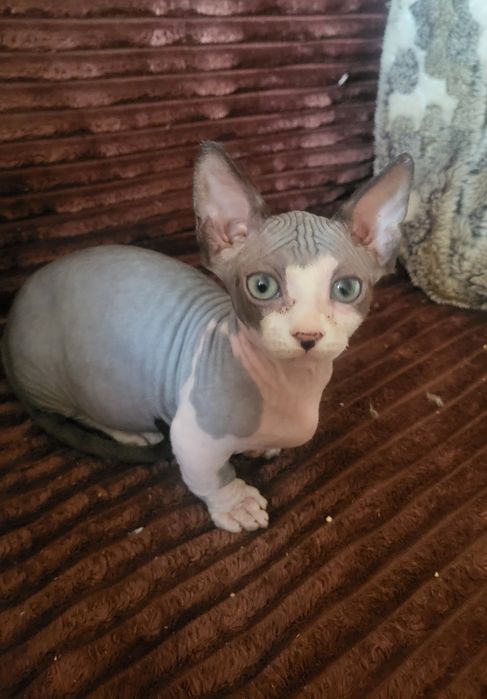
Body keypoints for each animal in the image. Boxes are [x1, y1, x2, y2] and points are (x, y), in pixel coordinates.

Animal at [2, 142, 413, 532]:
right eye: (262, 286)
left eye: (346, 289)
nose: (308, 335)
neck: (291, 384)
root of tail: (12, 316)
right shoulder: (192, 435)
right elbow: (211, 476)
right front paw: (235, 504)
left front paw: (261, 448)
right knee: (76, 411)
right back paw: (132, 434)